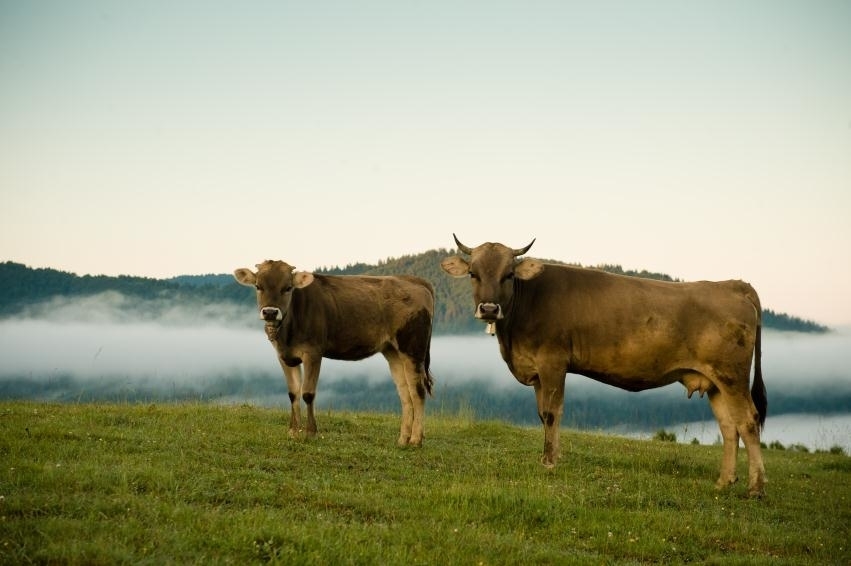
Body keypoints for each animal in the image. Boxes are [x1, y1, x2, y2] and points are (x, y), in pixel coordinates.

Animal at [235, 262, 436, 448]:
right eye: (258, 286)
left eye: (288, 287)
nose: (270, 312)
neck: (287, 334)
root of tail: (415, 280)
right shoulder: (284, 356)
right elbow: (293, 393)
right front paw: (293, 431)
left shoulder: (313, 352)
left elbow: (308, 393)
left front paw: (310, 432)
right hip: (393, 351)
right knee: (405, 393)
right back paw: (402, 440)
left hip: (412, 348)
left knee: (417, 391)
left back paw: (416, 440)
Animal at [442, 235, 768, 496]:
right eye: (473, 273)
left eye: (509, 274)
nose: (488, 308)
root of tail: (733, 285)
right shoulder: (536, 371)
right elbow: (542, 414)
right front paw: (547, 458)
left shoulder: (552, 362)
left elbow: (552, 413)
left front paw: (550, 462)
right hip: (715, 381)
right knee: (729, 426)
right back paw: (724, 481)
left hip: (733, 376)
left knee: (748, 421)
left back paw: (756, 487)